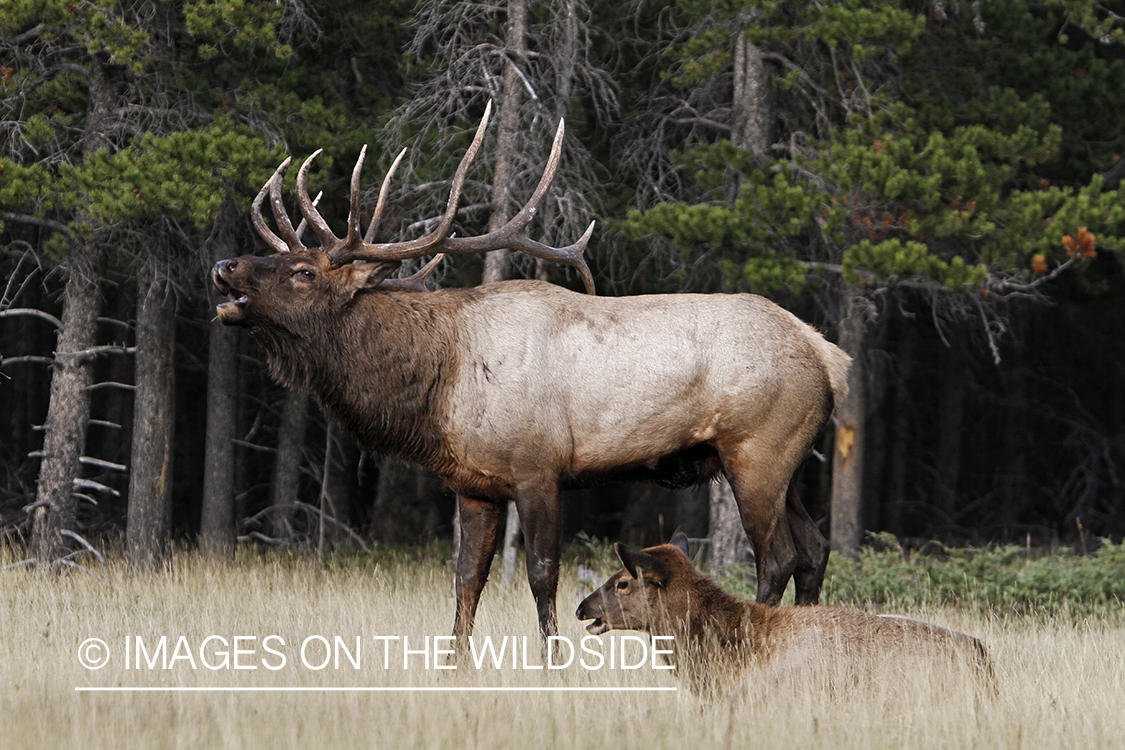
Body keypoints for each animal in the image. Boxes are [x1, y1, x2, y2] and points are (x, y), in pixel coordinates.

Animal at [211, 103, 851, 646]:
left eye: (303, 272)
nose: (225, 264)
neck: (441, 382)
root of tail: (830, 358)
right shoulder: (473, 484)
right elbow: (467, 579)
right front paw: (454, 666)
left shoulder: (539, 467)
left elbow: (543, 577)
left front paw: (554, 665)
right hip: (787, 460)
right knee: (816, 549)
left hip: (756, 450)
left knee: (778, 556)